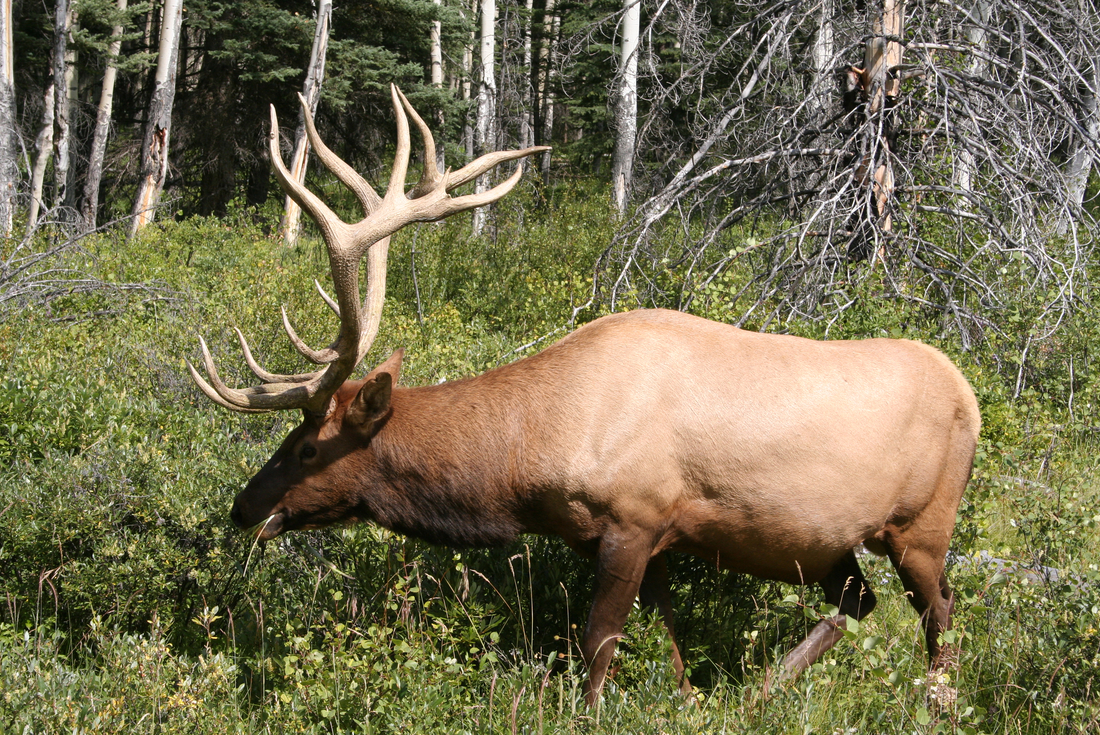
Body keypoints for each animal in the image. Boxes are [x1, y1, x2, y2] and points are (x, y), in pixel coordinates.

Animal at [189, 85, 981, 707]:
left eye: (307, 446)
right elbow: (663, 644)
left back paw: (936, 701)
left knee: (940, 614)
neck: (530, 458)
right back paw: (762, 689)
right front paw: (689, 700)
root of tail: (970, 395)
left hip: (922, 524)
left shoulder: (632, 516)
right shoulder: (657, 536)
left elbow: (598, 644)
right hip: (825, 543)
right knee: (858, 601)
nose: (243, 507)